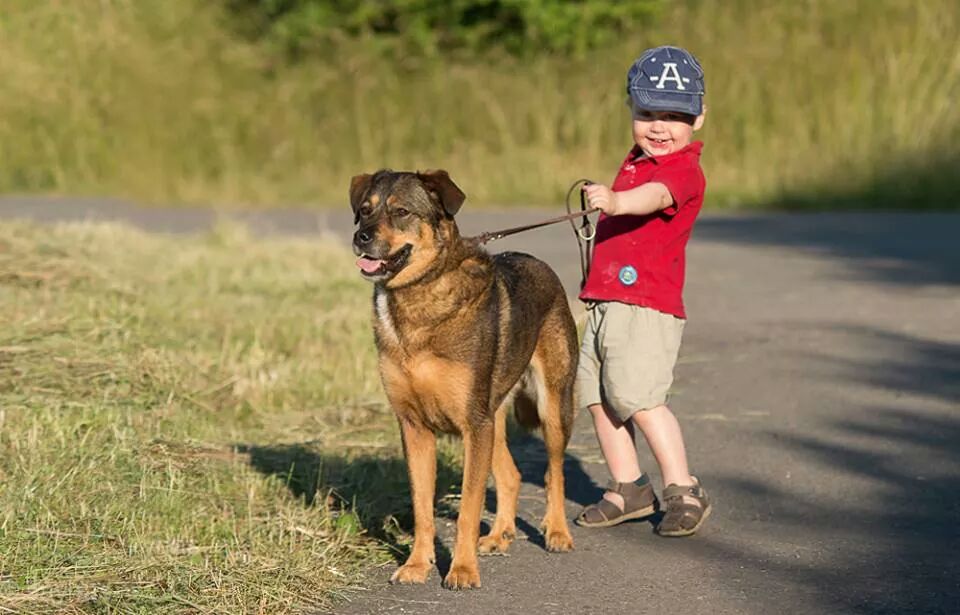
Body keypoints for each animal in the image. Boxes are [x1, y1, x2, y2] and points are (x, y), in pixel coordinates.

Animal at [352, 170, 576, 592]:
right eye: (365, 210)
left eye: (401, 212)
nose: (361, 237)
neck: (417, 297)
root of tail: (542, 265)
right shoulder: (416, 428)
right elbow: (422, 508)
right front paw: (416, 565)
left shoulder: (473, 424)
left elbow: (468, 509)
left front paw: (462, 570)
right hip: (494, 420)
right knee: (511, 475)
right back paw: (500, 534)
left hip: (552, 407)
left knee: (554, 471)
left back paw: (557, 532)